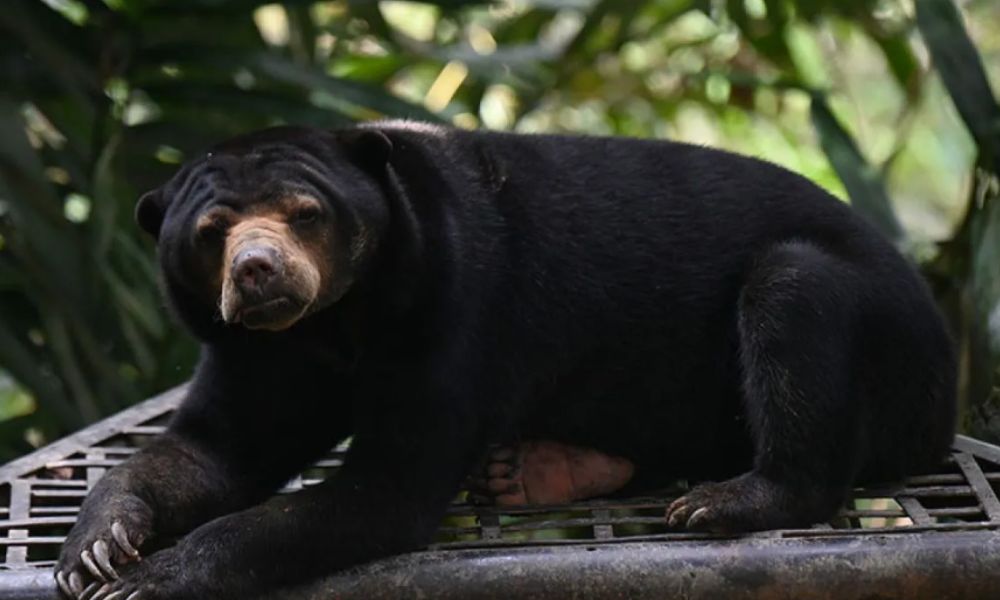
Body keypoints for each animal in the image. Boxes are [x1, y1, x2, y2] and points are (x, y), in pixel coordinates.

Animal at [55, 121, 957, 600]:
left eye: (307, 213)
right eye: (211, 234)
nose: (257, 272)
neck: (330, 326)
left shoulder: (456, 310)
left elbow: (385, 490)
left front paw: (154, 575)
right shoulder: (249, 349)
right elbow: (211, 450)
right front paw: (97, 546)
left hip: (881, 334)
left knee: (793, 292)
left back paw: (724, 501)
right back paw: (540, 471)